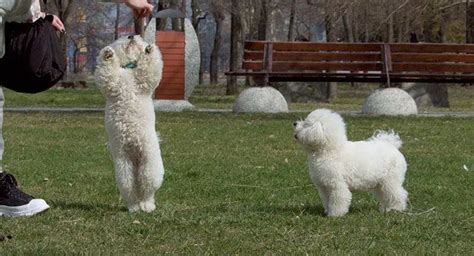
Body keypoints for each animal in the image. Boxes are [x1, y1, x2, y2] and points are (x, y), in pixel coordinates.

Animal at [94, 35, 165, 213]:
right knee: (131, 189)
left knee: (148, 189)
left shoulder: (144, 81)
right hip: (124, 167)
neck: (128, 70)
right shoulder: (112, 83)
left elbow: (149, 69)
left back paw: (147, 205)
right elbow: (106, 73)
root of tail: (135, 159)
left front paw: (149, 50)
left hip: (149, 164)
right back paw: (134, 207)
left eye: (139, 38)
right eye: (122, 37)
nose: (132, 35)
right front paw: (108, 54)